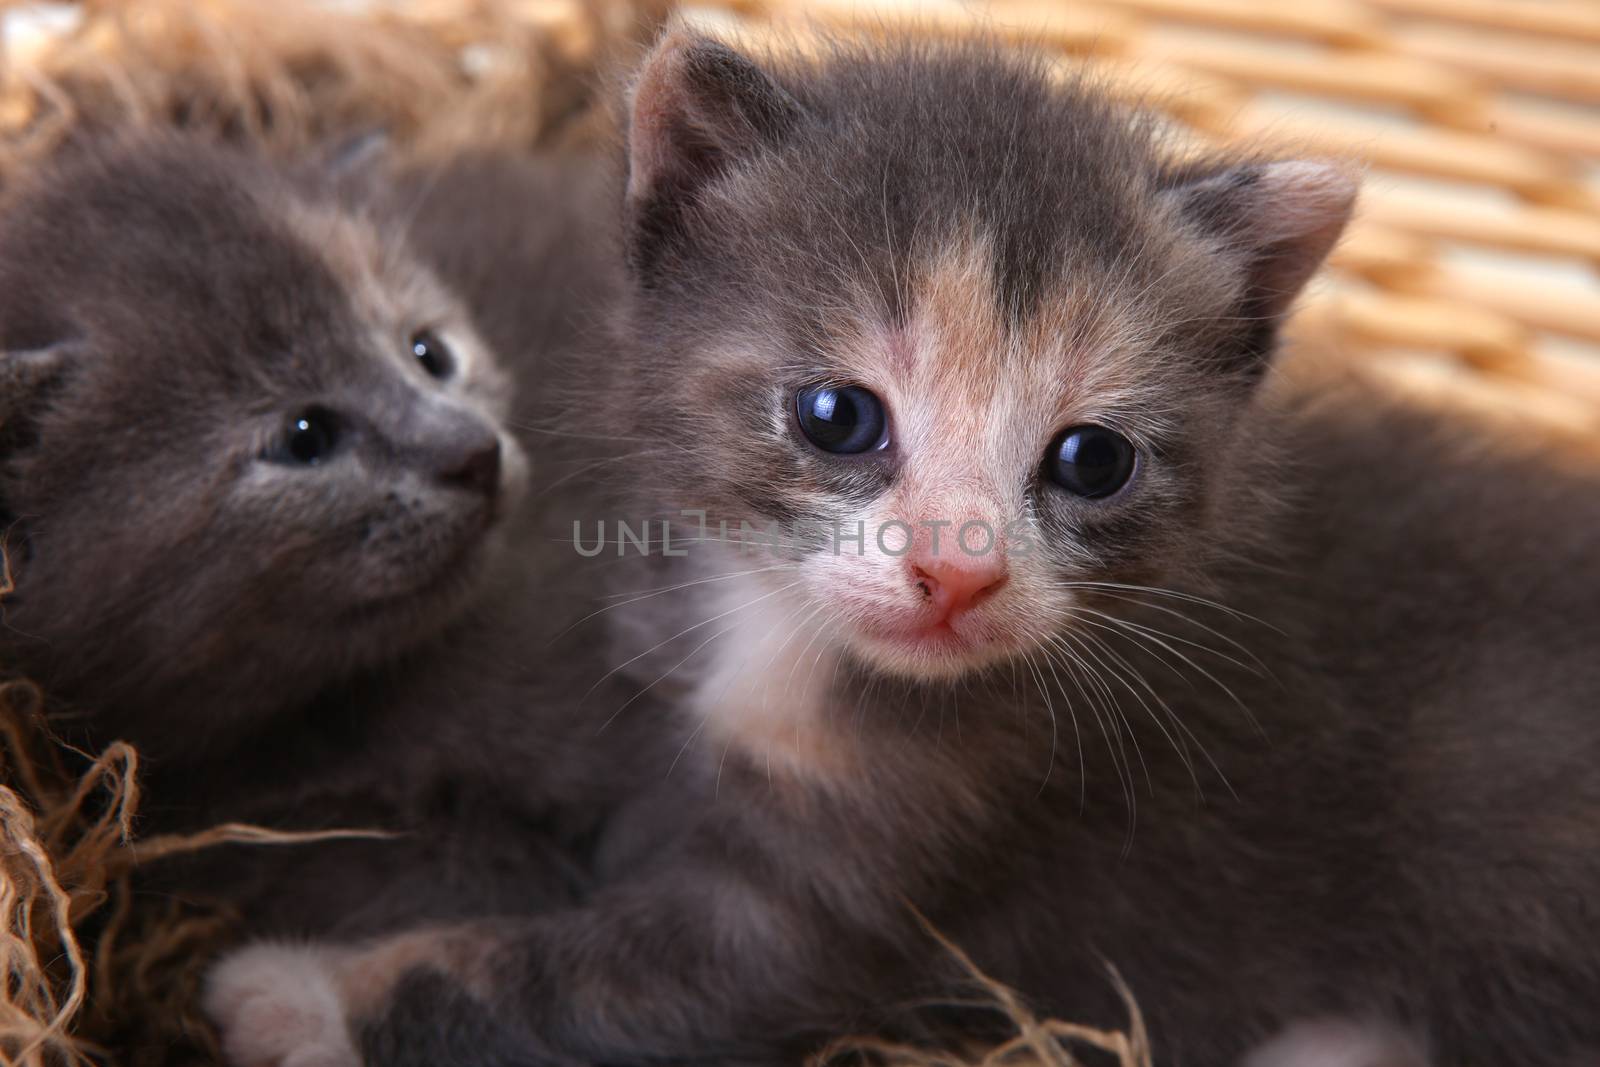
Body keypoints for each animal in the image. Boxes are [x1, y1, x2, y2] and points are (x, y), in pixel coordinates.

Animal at [209, 29, 1600, 1067]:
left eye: (1092, 459)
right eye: (838, 416)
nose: (957, 570)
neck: (787, 644)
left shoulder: (869, 867)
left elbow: (582, 977)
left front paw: (299, 996)